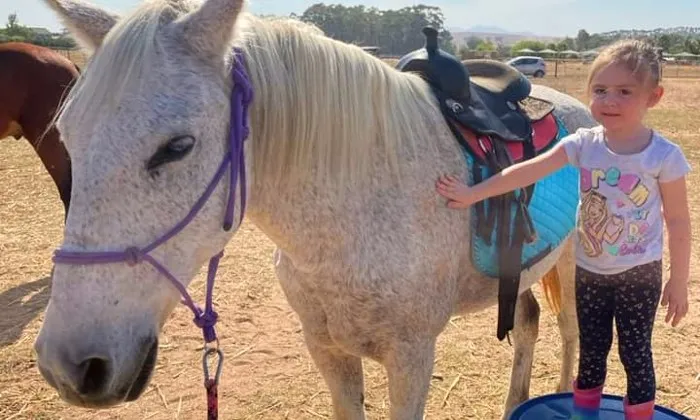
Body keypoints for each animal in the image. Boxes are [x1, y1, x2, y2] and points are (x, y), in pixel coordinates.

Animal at [35, 0, 595, 418]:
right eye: (67, 137)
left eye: (178, 147)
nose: (70, 364)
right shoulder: (327, 350)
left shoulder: (412, 358)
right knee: (528, 324)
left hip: (572, 261)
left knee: (570, 329)